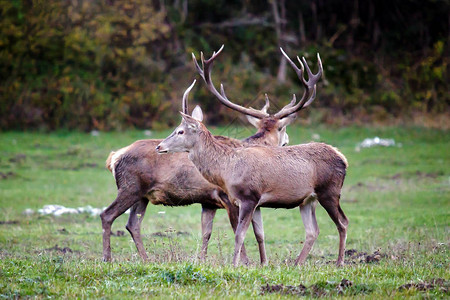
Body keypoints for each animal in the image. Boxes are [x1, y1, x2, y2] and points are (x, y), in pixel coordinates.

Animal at [100, 45, 300, 264]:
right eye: (282, 130)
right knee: (107, 215)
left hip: (142, 195)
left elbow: (210, 233)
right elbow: (238, 231)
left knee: (132, 224)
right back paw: (107, 258)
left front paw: (202, 260)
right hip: (130, 187)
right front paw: (245, 263)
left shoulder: (208, 202)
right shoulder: (227, 197)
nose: (287, 141)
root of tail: (114, 156)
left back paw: (146, 259)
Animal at [156, 48, 350, 266]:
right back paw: (297, 264)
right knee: (312, 230)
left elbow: (239, 234)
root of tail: (343, 158)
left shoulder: (249, 196)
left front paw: (235, 265)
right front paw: (262, 264)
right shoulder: (252, 202)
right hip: (308, 199)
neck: (226, 170)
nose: (159, 146)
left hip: (329, 191)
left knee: (343, 222)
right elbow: (258, 234)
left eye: (180, 131)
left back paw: (339, 262)